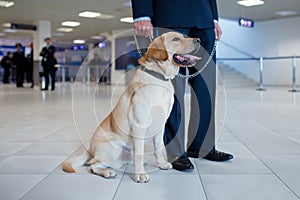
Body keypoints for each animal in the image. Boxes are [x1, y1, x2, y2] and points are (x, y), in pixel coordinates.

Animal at [62, 31, 200, 183]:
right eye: (175, 39)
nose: (198, 40)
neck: (159, 77)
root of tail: (90, 148)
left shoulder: (160, 124)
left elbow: (158, 148)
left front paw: (161, 163)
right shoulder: (139, 124)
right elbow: (139, 153)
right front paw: (140, 174)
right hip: (114, 148)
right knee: (92, 165)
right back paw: (108, 172)